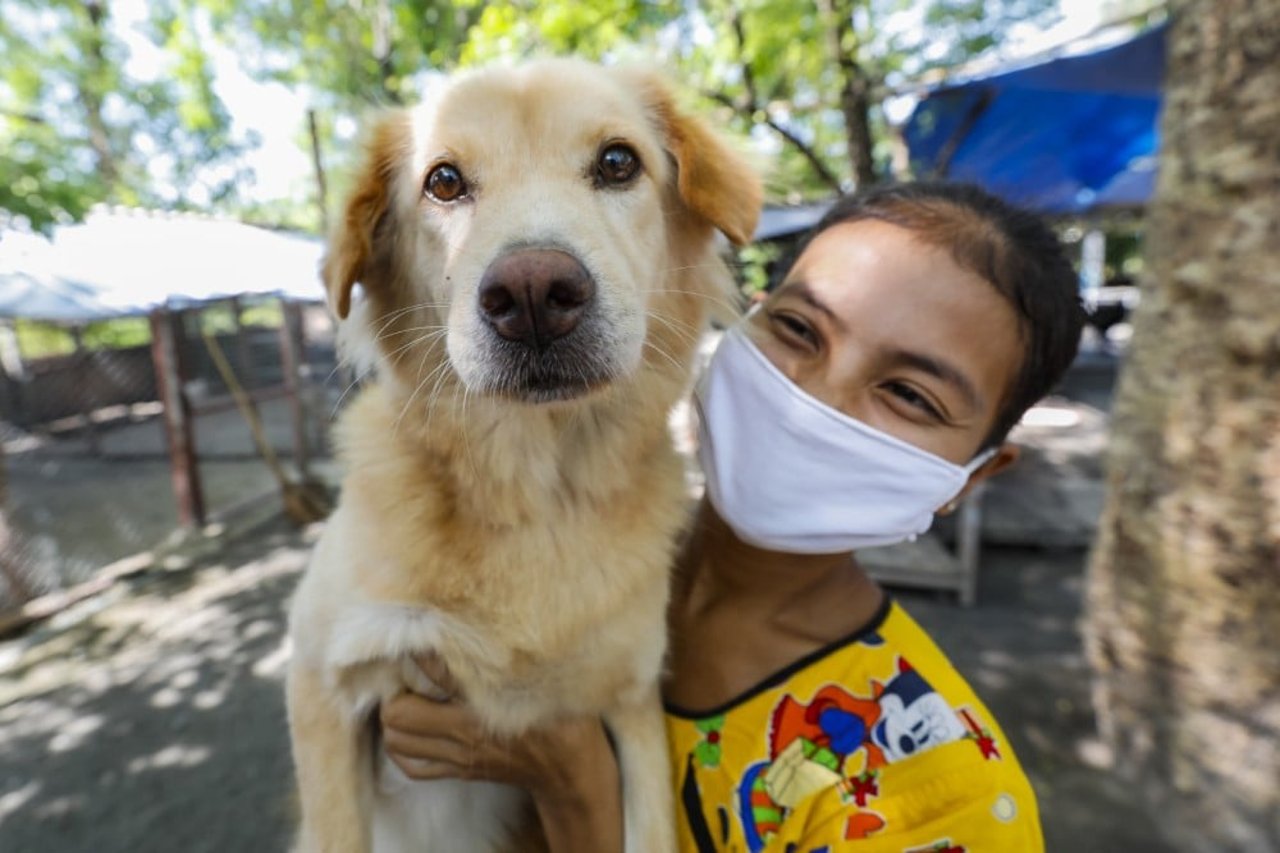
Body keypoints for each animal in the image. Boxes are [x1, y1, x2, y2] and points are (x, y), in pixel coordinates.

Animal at [285, 59, 757, 850]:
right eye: (444, 181)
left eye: (618, 162)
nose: (533, 293)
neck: (539, 495)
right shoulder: (325, 681)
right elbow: (338, 829)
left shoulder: (631, 700)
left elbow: (651, 824)